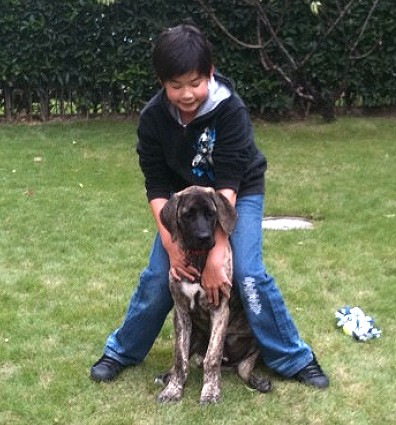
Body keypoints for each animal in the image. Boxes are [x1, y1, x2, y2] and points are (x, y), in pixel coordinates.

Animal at [158, 186, 272, 404]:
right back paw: (167, 376)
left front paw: (210, 392)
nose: (204, 237)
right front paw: (173, 390)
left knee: (243, 367)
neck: (198, 258)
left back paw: (259, 381)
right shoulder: (181, 312)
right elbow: (180, 358)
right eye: (188, 215)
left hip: (256, 338)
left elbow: (212, 357)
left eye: (211, 214)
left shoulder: (219, 310)